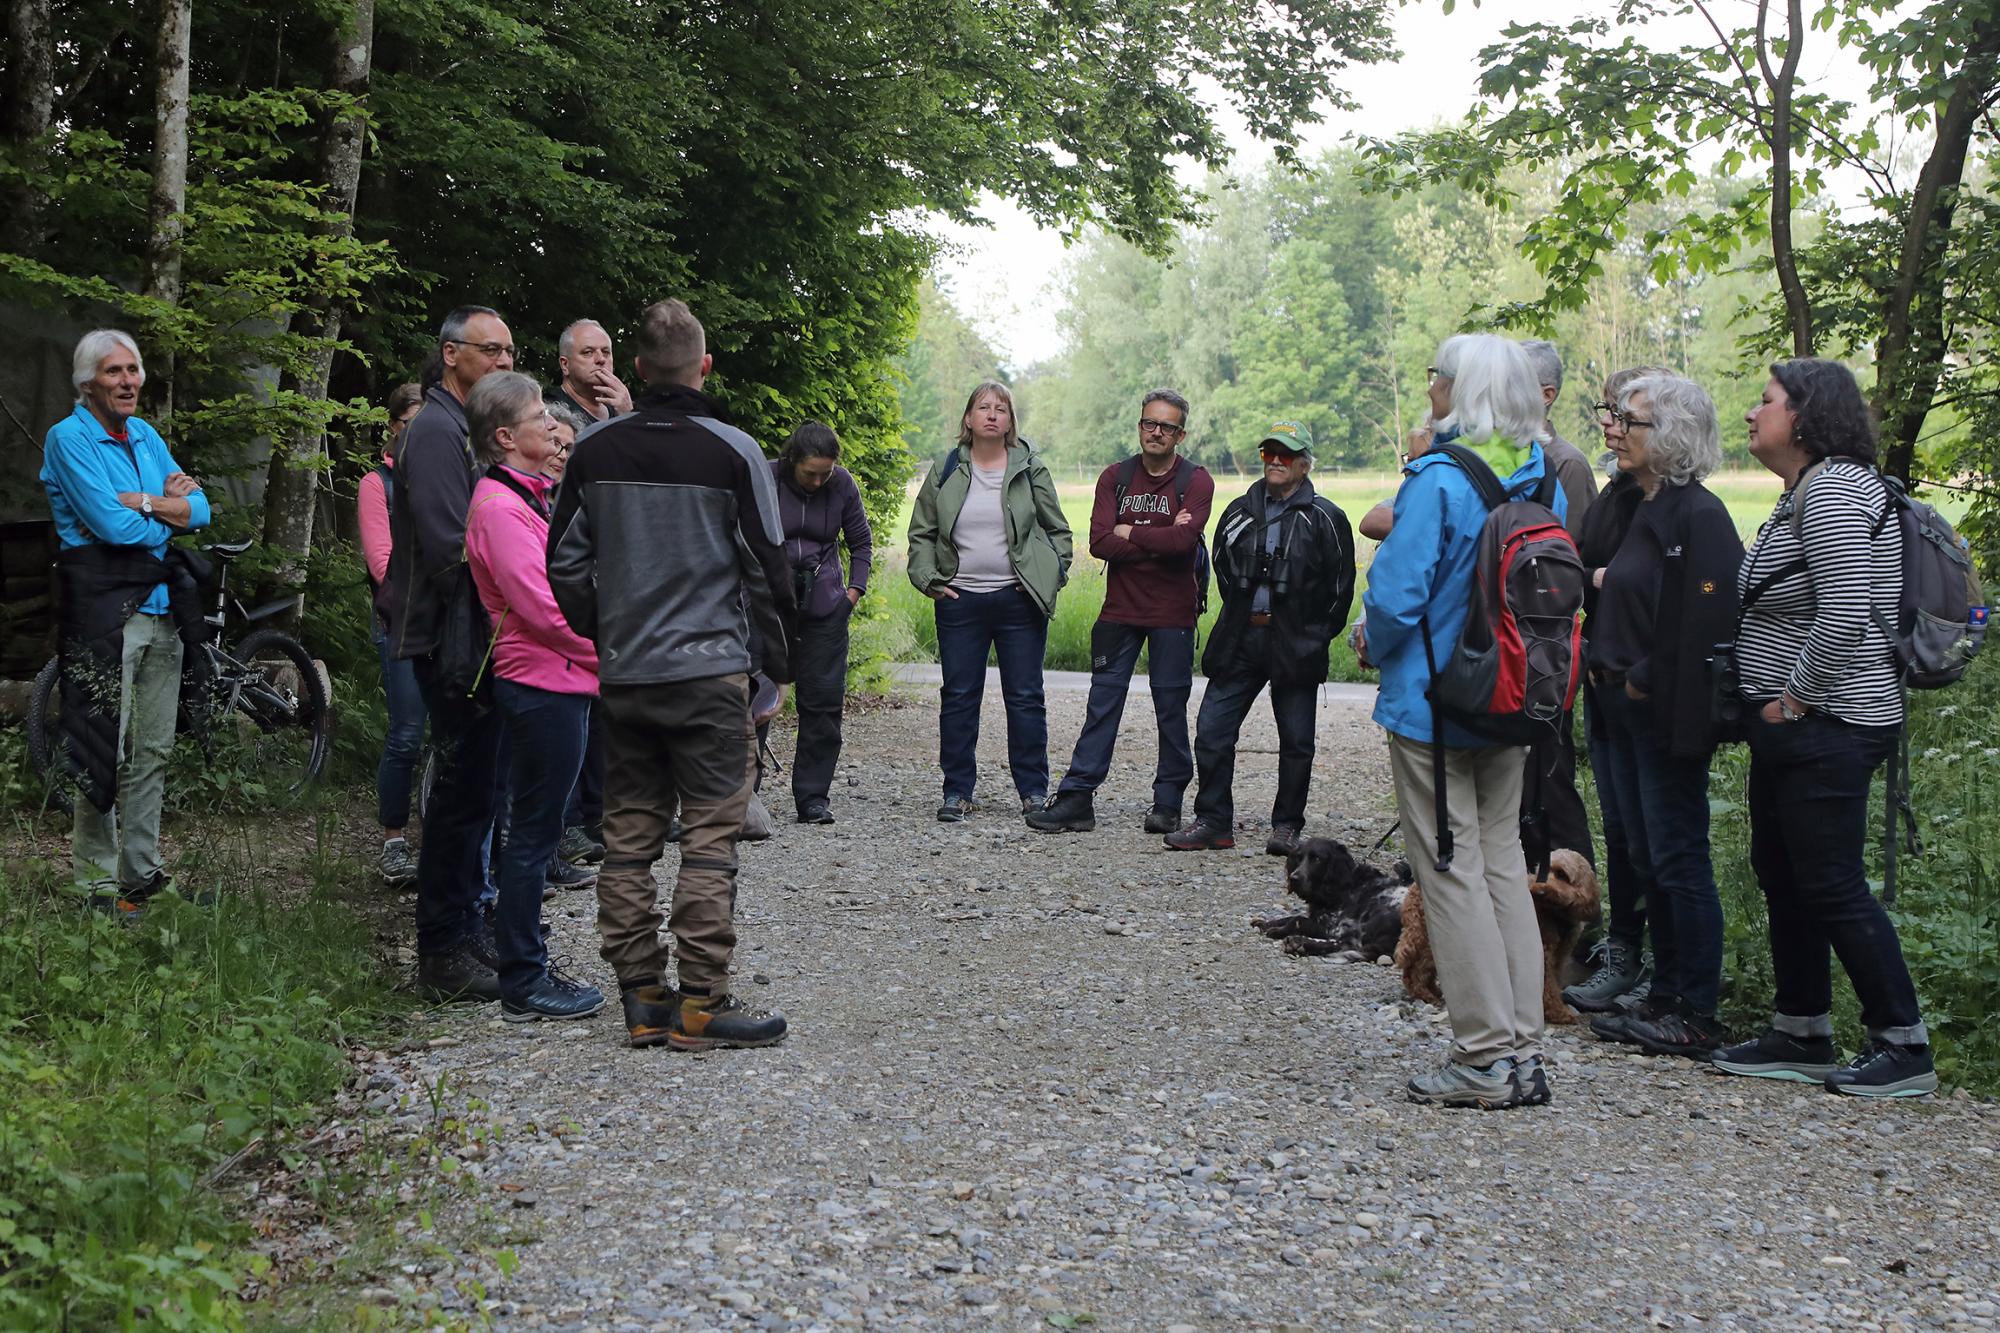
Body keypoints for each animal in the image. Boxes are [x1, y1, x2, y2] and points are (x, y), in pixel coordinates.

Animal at [1248, 836, 1408, 960]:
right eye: (1299, 857)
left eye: (1317, 859)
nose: (1294, 878)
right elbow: (1290, 917)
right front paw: (1265, 923)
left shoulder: (1335, 926)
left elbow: (1297, 920)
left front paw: (1278, 930)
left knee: (1346, 944)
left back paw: (1299, 942)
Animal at [1400, 844, 1600, 1020]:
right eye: (1544, 870)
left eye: (1562, 874)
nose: (1539, 891)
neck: (1557, 914)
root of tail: (1414, 890)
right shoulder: (1543, 952)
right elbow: (1548, 986)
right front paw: (1559, 1013)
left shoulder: (1559, 956)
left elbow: (1554, 984)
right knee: (1417, 969)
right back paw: (1425, 994)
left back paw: (1432, 991)